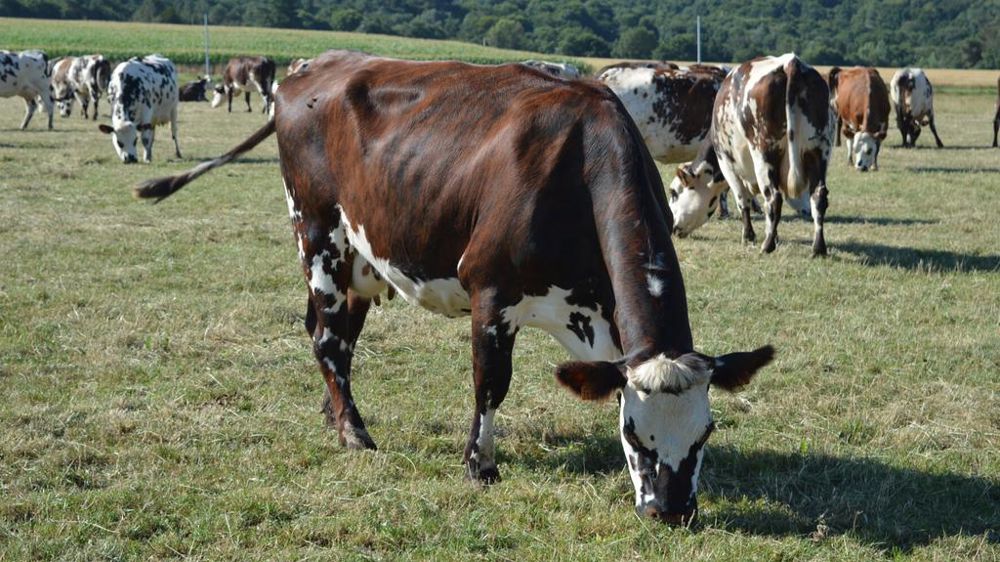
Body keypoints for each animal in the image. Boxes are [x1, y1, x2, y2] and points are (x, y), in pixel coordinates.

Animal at [134, 50, 774, 525]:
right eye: (634, 435)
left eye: (706, 432)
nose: (672, 511)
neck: (578, 166)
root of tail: (309, 71)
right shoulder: (491, 295)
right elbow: (491, 383)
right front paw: (480, 465)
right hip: (317, 233)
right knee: (327, 339)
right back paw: (355, 432)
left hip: (361, 255)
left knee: (332, 334)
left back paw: (333, 413)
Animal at [668, 54, 833, 256]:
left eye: (674, 192)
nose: (673, 228)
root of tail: (790, 63)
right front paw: (773, 235)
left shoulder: (727, 165)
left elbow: (742, 200)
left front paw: (749, 236)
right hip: (819, 151)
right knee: (818, 196)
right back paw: (818, 248)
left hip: (763, 155)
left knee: (773, 198)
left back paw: (767, 246)